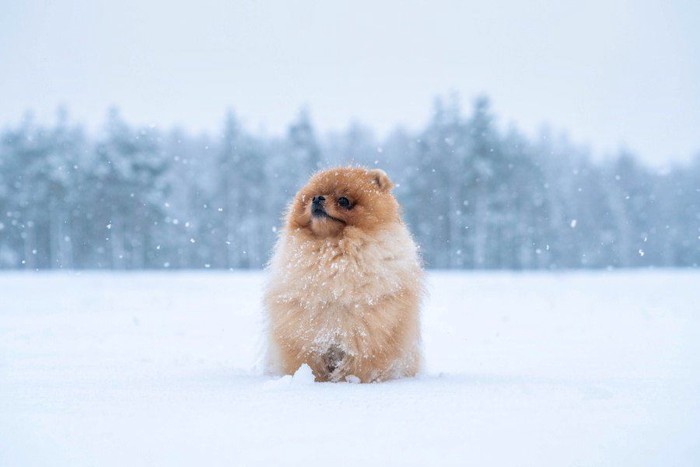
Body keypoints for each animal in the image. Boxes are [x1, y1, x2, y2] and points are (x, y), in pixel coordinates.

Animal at [266, 166, 424, 382]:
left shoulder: (371, 332)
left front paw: (349, 382)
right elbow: (307, 362)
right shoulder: (302, 331)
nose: (317, 198)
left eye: (343, 200)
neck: (333, 252)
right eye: (309, 198)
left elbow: (361, 365)